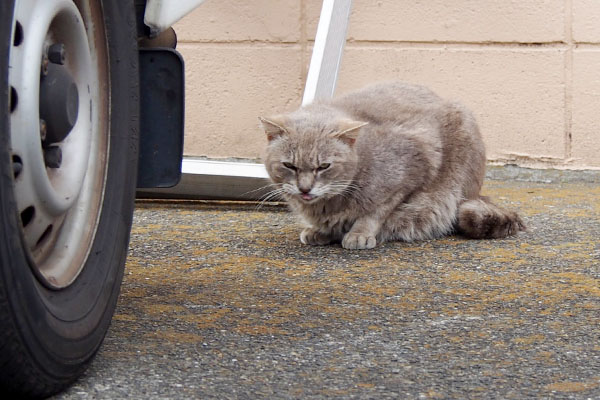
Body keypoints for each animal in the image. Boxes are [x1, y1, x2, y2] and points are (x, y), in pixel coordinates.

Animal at [260, 81, 524, 248]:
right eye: (289, 166)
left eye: (324, 166)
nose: (305, 188)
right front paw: (322, 231)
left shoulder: (412, 168)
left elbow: (375, 211)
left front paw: (359, 233)